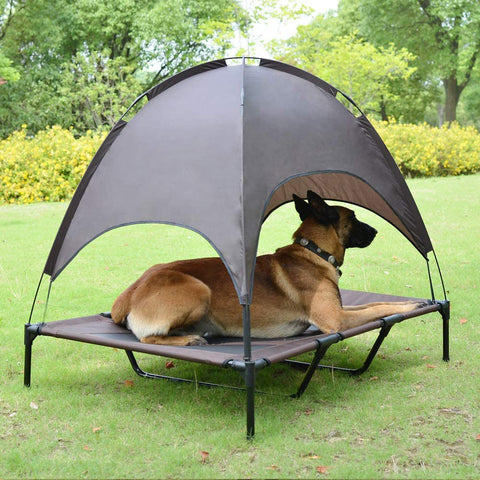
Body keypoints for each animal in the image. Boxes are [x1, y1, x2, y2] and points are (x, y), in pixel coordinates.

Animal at [111, 191, 420, 344]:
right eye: (353, 217)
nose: (376, 231)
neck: (313, 252)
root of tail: (130, 293)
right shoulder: (336, 320)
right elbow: (376, 310)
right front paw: (410, 306)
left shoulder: (341, 309)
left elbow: (376, 304)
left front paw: (410, 303)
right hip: (198, 290)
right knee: (147, 339)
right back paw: (190, 341)